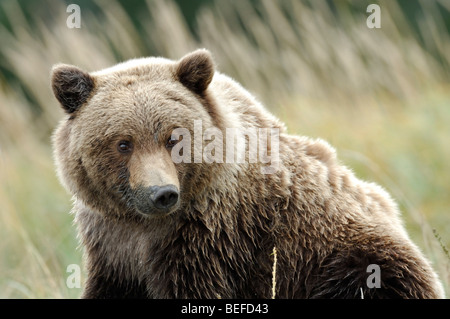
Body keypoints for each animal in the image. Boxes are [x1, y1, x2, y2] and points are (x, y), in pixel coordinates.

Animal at [50, 48, 442, 298]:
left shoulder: (209, 237)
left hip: (349, 256)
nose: (161, 194)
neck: (143, 226)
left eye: (174, 137)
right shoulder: (112, 242)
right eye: (123, 143)